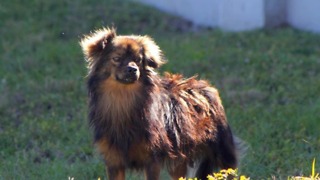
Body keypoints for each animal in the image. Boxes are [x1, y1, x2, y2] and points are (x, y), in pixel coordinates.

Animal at [80, 27, 238, 179]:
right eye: (117, 58)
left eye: (138, 60)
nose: (133, 69)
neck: (122, 99)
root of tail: (207, 86)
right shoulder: (114, 162)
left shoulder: (152, 160)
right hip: (179, 161)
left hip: (224, 155)